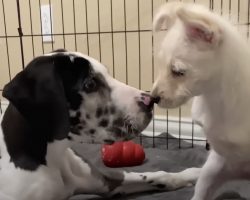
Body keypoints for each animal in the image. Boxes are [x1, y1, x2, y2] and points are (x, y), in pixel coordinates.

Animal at [0, 48, 199, 200]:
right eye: (90, 84)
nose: (151, 101)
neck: (53, 158)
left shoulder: (107, 183)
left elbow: (157, 175)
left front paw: (192, 174)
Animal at [152, 1, 250, 200]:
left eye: (178, 71)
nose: (153, 98)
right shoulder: (219, 161)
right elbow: (201, 189)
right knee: (196, 173)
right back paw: (167, 178)